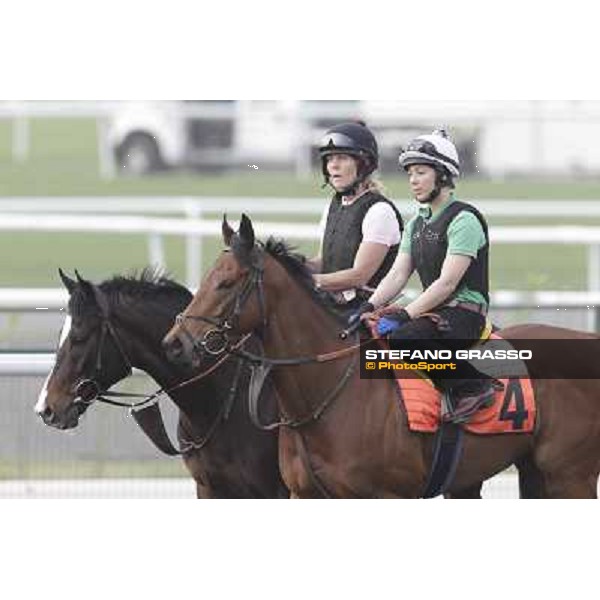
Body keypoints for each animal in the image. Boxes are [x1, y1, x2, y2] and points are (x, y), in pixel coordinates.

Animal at [162, 214, 600, 496]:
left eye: (226, 283)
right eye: (205, 279)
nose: (175, 342)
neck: (331, 393)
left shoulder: (389, 494)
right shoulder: (303, 495)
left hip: (570, 475)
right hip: (533, 471)